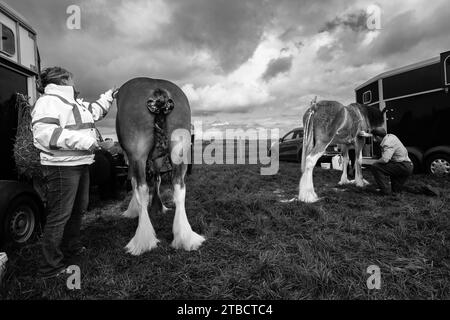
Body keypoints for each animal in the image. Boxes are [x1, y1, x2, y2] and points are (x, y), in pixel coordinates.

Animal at [117, 77, 207, 255]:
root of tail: (158, 91)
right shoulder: (158, 158)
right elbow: (157, 179)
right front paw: (158, 207)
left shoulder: (131, 158)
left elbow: (134, 182)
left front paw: (133, 210)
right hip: (178, 150)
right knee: (179, 187)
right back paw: (184, 237)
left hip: (137, 154)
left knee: (141, 188)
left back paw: (142, 240)